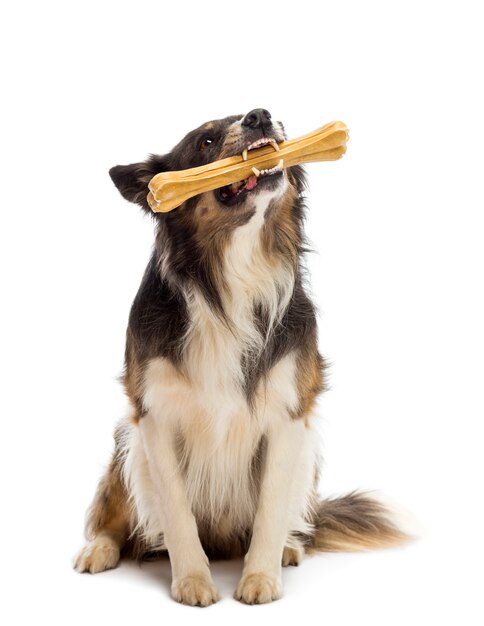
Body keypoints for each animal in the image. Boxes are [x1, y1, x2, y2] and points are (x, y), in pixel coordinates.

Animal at [73, 108, 404, 604]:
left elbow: (270, 510)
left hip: (307, 457)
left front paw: (260, 579)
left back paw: (288, 548)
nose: (260, 115)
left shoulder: (288, 414)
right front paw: (192, 581)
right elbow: (177, 514)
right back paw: (100, 549)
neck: (232, 274)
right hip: (125, 445)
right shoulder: (153, 416)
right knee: (116, 516)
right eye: (206, 141)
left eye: (274, 116)